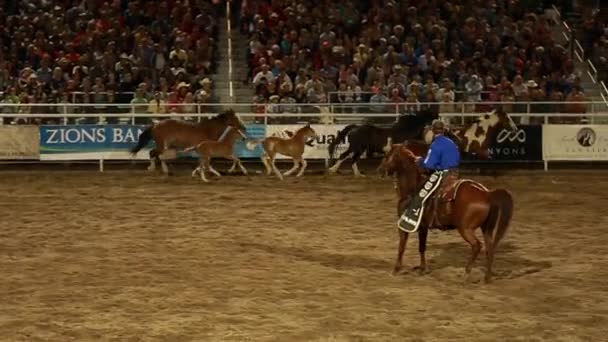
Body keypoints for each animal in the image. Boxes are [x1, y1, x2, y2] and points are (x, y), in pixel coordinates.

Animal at [380, 144, 512, 284]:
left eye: (387, 156)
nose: (380, 170)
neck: (413, 189)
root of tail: (487, 193)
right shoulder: (423, 228)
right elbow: (420, 247)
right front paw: (422, 268)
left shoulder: (409, 225)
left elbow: (404, 246)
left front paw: (397, 269)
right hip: (486, 228)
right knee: (490, 248)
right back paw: (487, 277)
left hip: (465, 229)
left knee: (477, 246)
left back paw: (467, 272)